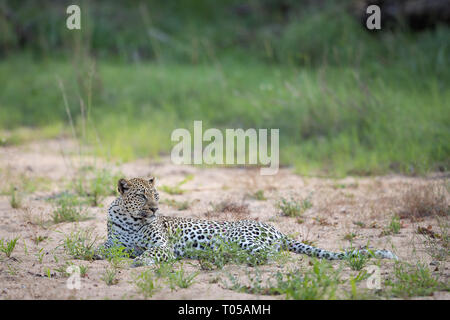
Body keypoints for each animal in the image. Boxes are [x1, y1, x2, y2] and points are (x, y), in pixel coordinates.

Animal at [94, 178, 398, 264]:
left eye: (155, 195)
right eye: (142, 196)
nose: (156, 209)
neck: (131, 220)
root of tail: (277, 228)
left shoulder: (162, 245)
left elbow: (154, 252)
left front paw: (141, 260)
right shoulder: (115, 242)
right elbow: (100, 248)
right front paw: (95, 253)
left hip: (241, 238)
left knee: (271, 255)